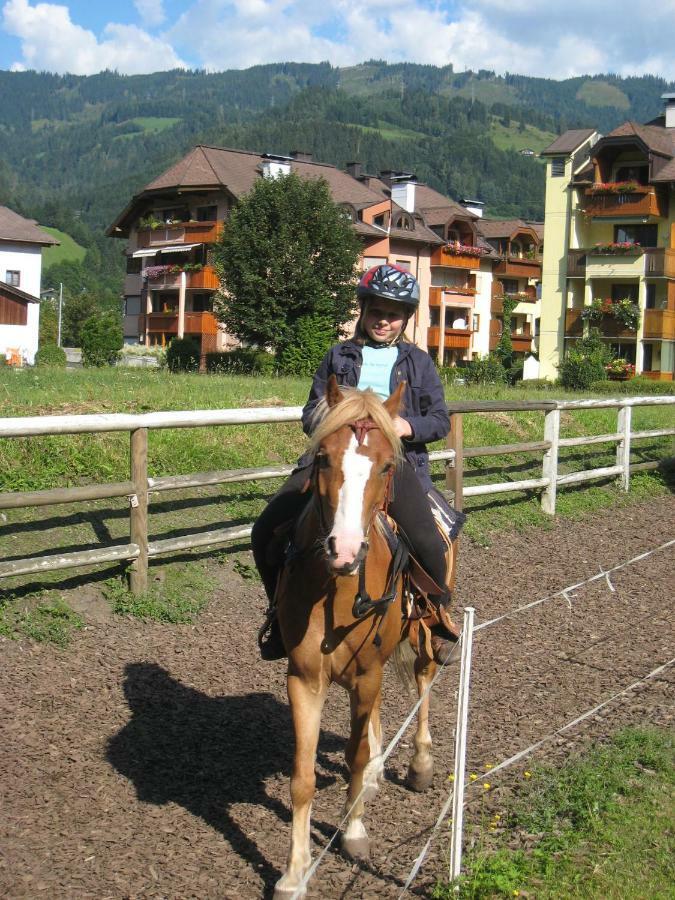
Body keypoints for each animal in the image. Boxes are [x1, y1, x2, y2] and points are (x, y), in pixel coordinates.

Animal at [274, 376, 460, 896]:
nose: (345, 549)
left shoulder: (369, 672)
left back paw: (418, 766)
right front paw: (295, 872)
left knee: (424, 682)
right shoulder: (305, 679)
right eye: (323, 458)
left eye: (385, 464)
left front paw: (354, 833)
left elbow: (354, 757)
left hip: (422, 632)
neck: (335, 590)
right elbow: (302, 778)